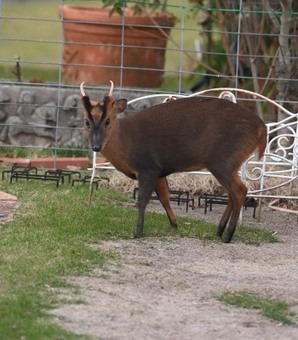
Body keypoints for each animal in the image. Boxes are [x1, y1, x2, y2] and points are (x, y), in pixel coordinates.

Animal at [80, 81, 266, 243]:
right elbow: (164, 198)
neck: (126, 143)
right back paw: (219, 231)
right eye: (86, 121)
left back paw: (228, 236)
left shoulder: (149, 167)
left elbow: (142, 200)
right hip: (228, 164)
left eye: (108, 121)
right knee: (232, 194)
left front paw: (138, 232)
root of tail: (262, 127)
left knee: (240, 191)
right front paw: (174, 224)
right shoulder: (160, 171)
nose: (96, 146)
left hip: (223, 161)